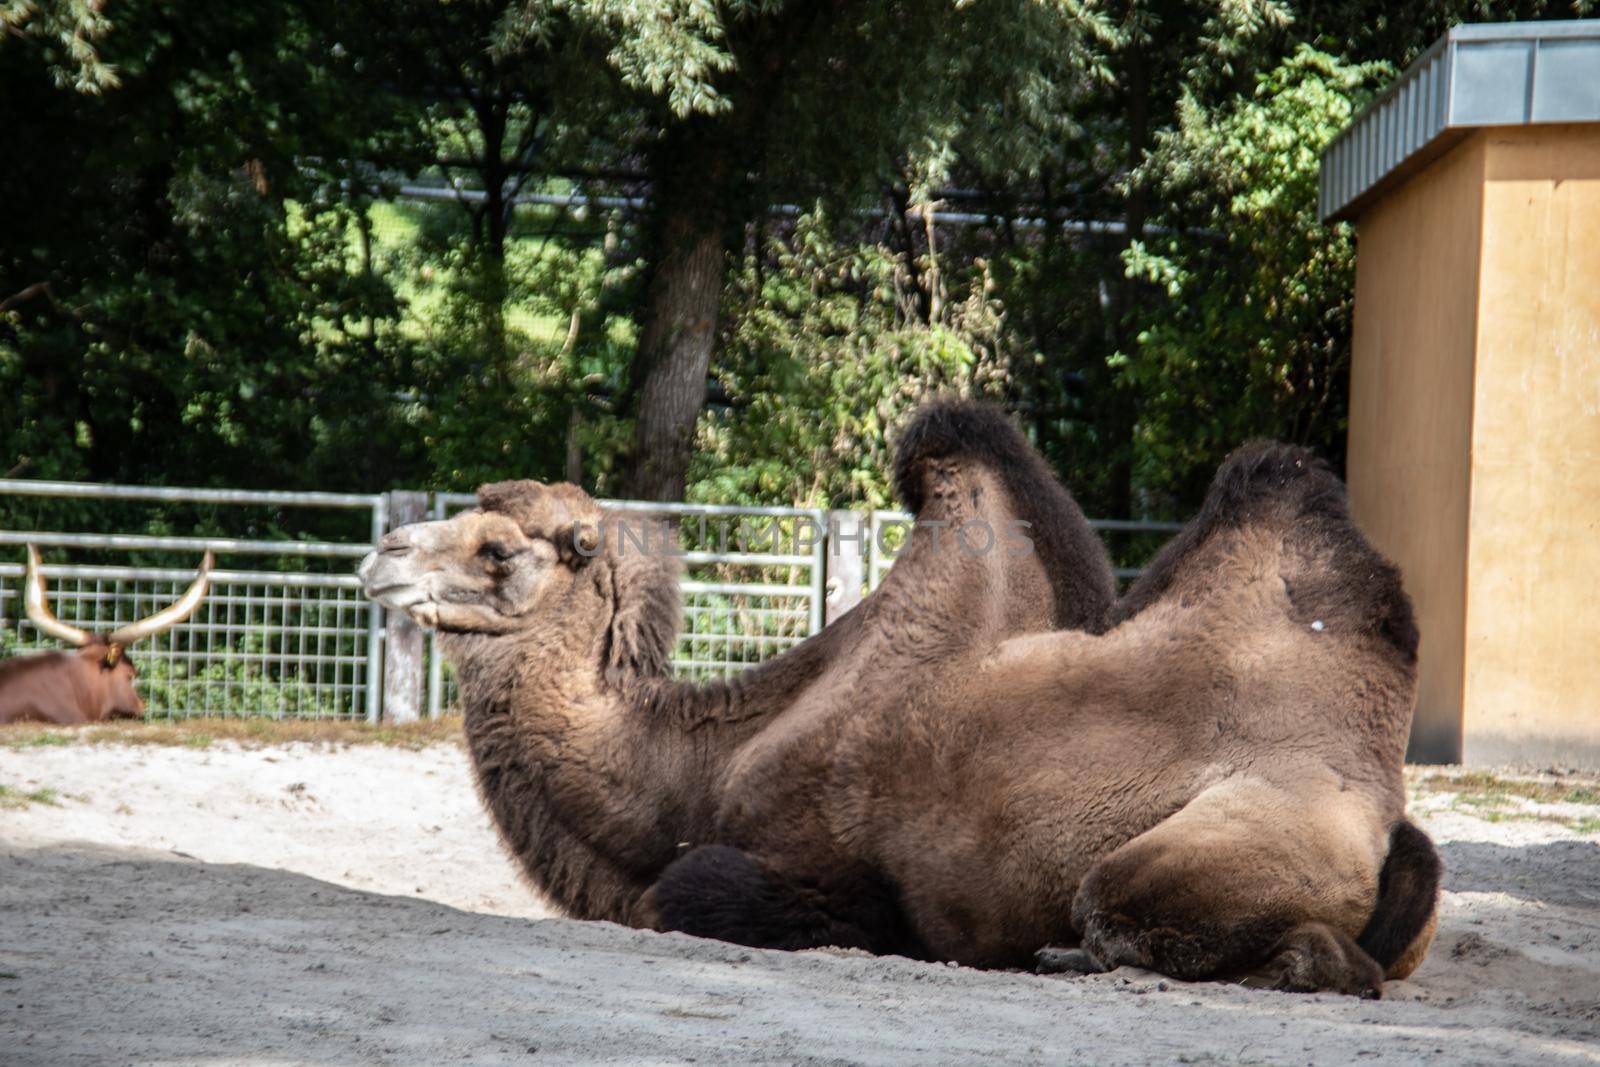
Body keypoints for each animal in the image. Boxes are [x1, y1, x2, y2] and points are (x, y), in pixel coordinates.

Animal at [360, 404, 1440, 998]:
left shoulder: (816, 855)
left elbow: (689, 890)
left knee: (1146, 910)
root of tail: (1388, 819)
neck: (698, 772)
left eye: (499, 549)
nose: (380, 555)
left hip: (1204, 847)